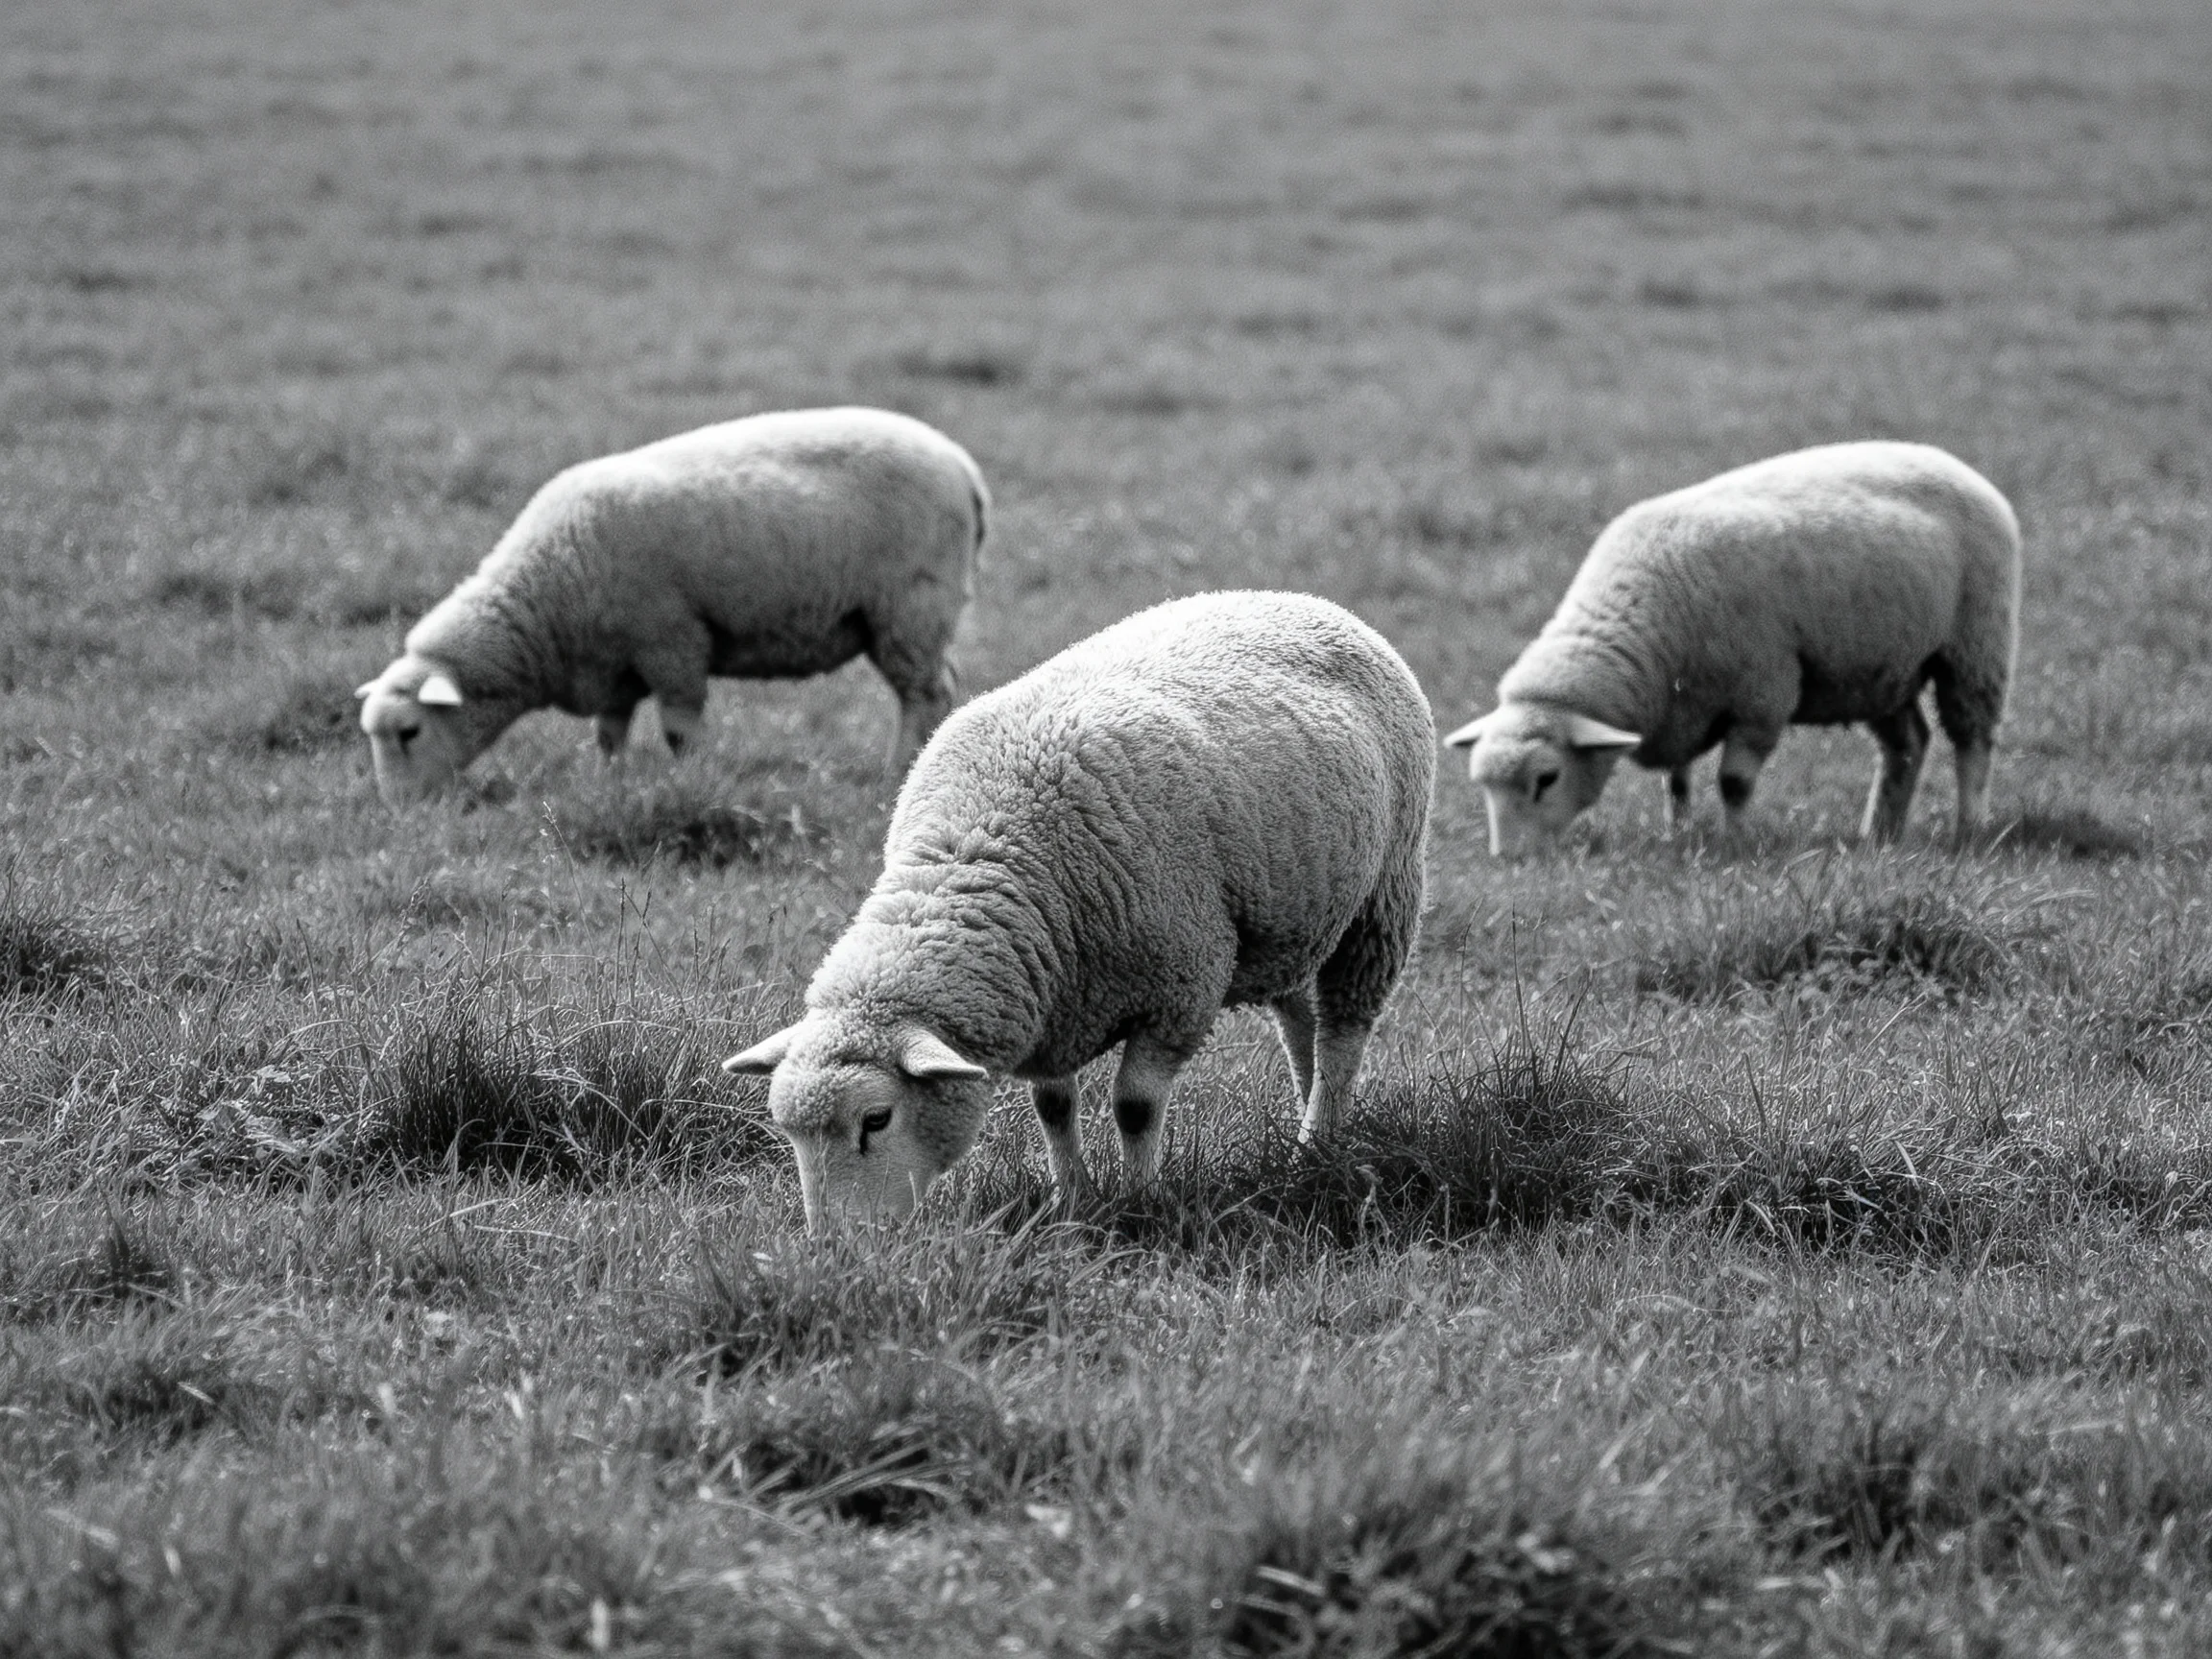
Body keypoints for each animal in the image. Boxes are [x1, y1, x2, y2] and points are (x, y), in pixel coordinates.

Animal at [355, 407, 988, 806]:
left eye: (409, 732)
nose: (400, 810)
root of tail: (962, 465)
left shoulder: (670, 640)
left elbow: (681, 729)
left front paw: (690, 783)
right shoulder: (612, 666)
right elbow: (609, 736)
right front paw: (609, 786)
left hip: (910, 605)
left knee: (924, 694)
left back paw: (896, 774)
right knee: (938, 687)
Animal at [722, 589, 1434, 1228]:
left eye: (876, 1119)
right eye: (788, 1132)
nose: (835, 1246)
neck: (978, 854)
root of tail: (1309, 600)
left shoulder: (1178, 990)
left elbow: (1135, 1107)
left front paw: (1140, 1200)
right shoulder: (1055, 1002)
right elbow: (1054, 1106)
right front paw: (1073, 1197)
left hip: (1383, 898)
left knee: (1343, 1030)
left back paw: (1316, 1146)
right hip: (1295, 917)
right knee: (1299, 1025)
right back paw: (1310, 1125)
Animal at [1444, 441, 2020, 856]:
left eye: (1547, 779)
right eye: (1483, 785)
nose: (1507, 859)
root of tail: (1951, 461)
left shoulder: (1761, 695)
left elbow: (1734, 783)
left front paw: (1735, 843)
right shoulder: (1681, 707)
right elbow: (1677, 784)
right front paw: (1679, 835)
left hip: (1974, 647)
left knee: (1972, 741)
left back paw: (1968, 828)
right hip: (1880, 670)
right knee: (1908, 745)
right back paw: (1879, 834)